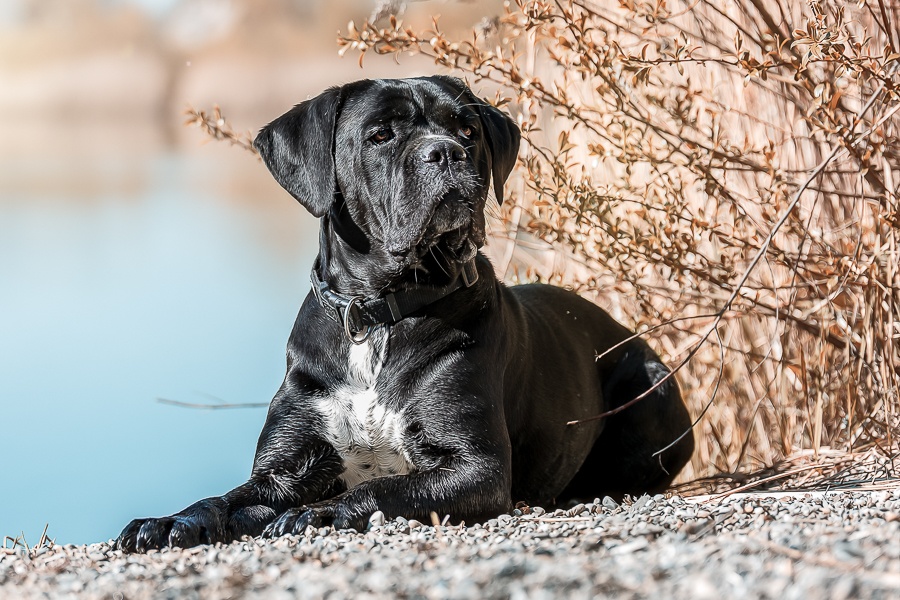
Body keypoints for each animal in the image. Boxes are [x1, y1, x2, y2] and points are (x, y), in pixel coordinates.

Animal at [116, 77, 692, 552]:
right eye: (380, 134)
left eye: (467, 128)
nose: (447, 152)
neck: (376, 313)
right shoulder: (285, 467)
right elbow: (227, 498)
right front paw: (171, 521)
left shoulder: (476, 466)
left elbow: (385, 485)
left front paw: (318, 512)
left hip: (651, 390)